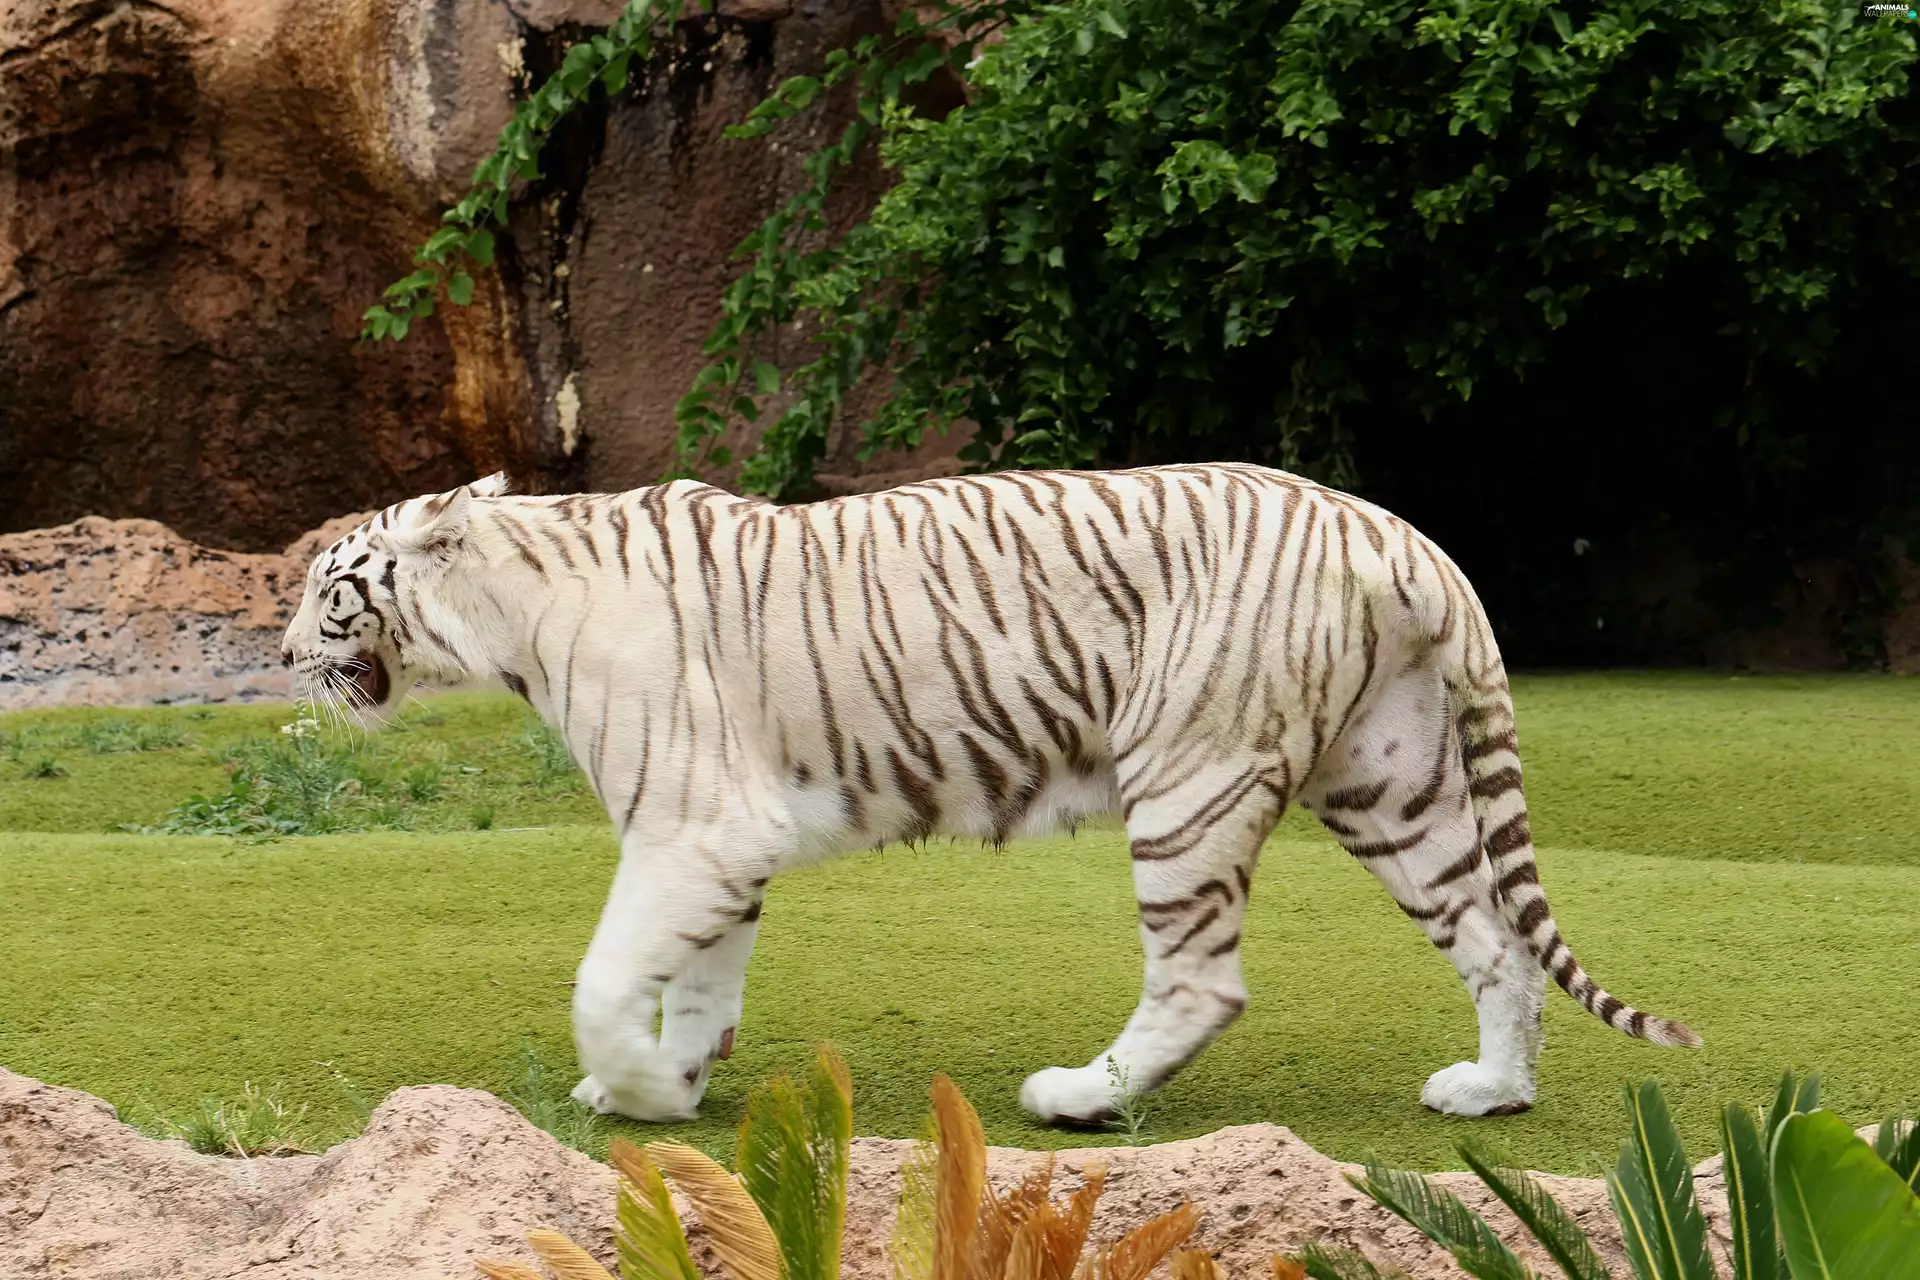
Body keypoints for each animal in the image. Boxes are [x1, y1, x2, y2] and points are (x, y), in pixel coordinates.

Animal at [281, 462, 1699, 1126]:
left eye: (329, 587)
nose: (281, 650)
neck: (512, 602)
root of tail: (1399, 533)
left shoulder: (693, 824)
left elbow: (605, 974)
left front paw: (630, 1088)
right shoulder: (725, 839)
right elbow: (700, 978)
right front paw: (671, 1081)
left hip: (1188, 774)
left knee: (1203, 980)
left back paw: (1081, 1094)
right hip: (1390, 782)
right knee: (1494, 938)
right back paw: (1493, 1089)